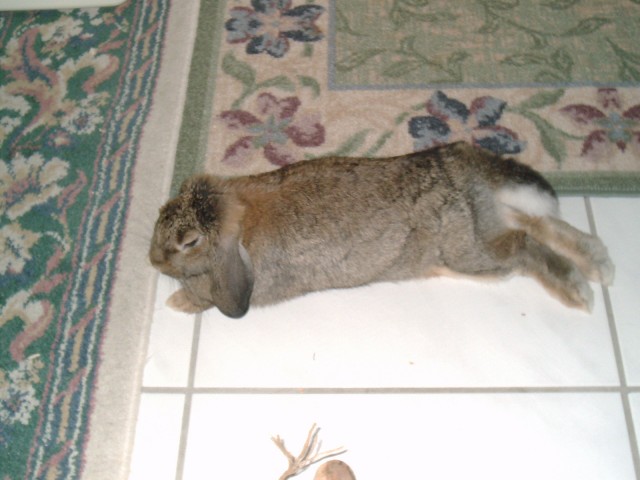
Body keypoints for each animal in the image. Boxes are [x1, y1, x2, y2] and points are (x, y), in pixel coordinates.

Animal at [149, 141, 614, 318]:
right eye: (162, 210)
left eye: (189, 242)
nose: (153, 260)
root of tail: (458, 157)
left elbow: (205, 298)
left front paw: (177, 302)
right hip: (480, 229)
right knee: (536, 221)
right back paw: (600, 267)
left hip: (469, 254)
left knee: (524, 242)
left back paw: (579, 291)